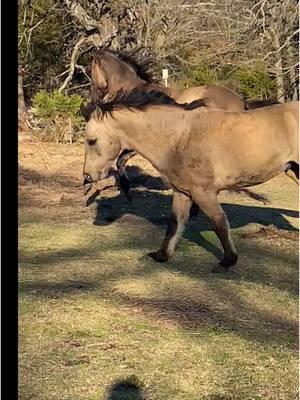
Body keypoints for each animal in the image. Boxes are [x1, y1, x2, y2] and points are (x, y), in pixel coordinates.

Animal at [81, 90, 298, 270]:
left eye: (91, 140)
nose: (87, 177)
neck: (180, 138)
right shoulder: (182, 192)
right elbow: (175, 223)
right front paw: (161, 255)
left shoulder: (204, 193)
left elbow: (219, 223)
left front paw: (228, 261)